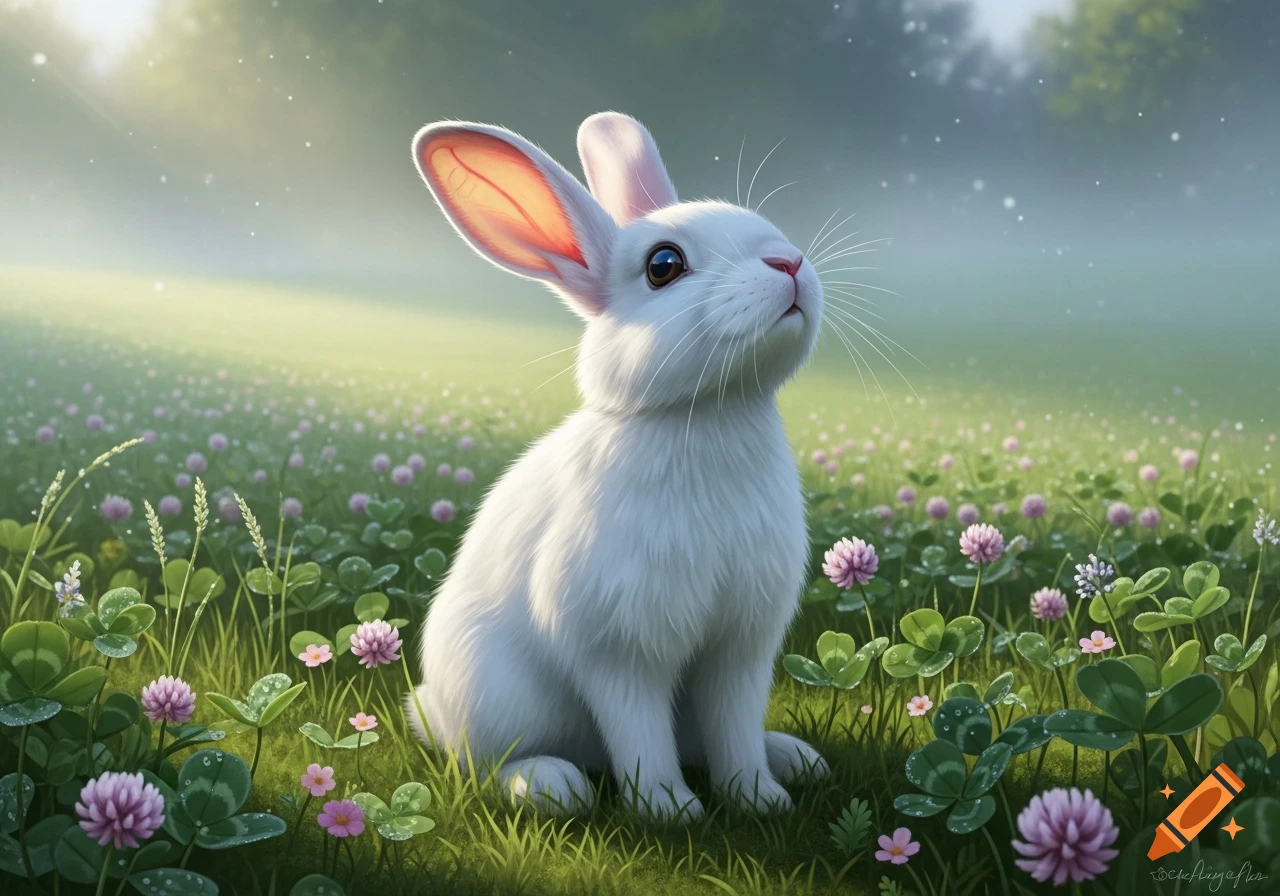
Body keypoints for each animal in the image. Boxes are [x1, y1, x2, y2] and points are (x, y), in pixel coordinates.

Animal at [405, 111, 828, 823]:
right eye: (663, 266)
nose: (789, 262)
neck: (708, 414)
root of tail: (430, 709)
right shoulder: (619, 645)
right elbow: (638, 729)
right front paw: (669, 810)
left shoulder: (741, 644)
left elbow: (736, 723)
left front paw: (759, 800)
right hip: (497, 698)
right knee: (489, 763)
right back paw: (550, 784)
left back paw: (796, 759)